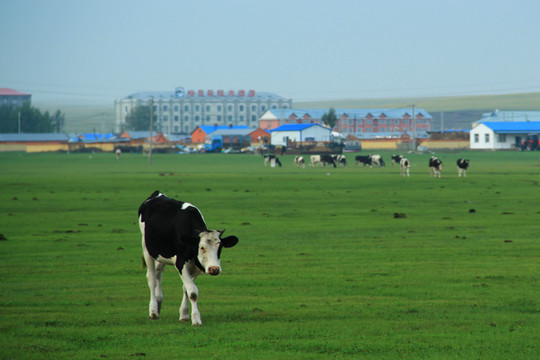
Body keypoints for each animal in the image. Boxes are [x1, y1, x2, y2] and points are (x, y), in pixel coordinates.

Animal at [138, 191, 239, 326]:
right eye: (201, 247)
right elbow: (192, 292)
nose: (214, 269)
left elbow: (186, 288)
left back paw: (159, 303)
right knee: (152, 278)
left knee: (159, 272)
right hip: (147, 248)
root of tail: (157, 194)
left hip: (162, 253)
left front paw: (184, 315)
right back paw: (153, 311)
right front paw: (196, 319)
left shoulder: (195, 265)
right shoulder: (181, 263)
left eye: (220, 247)